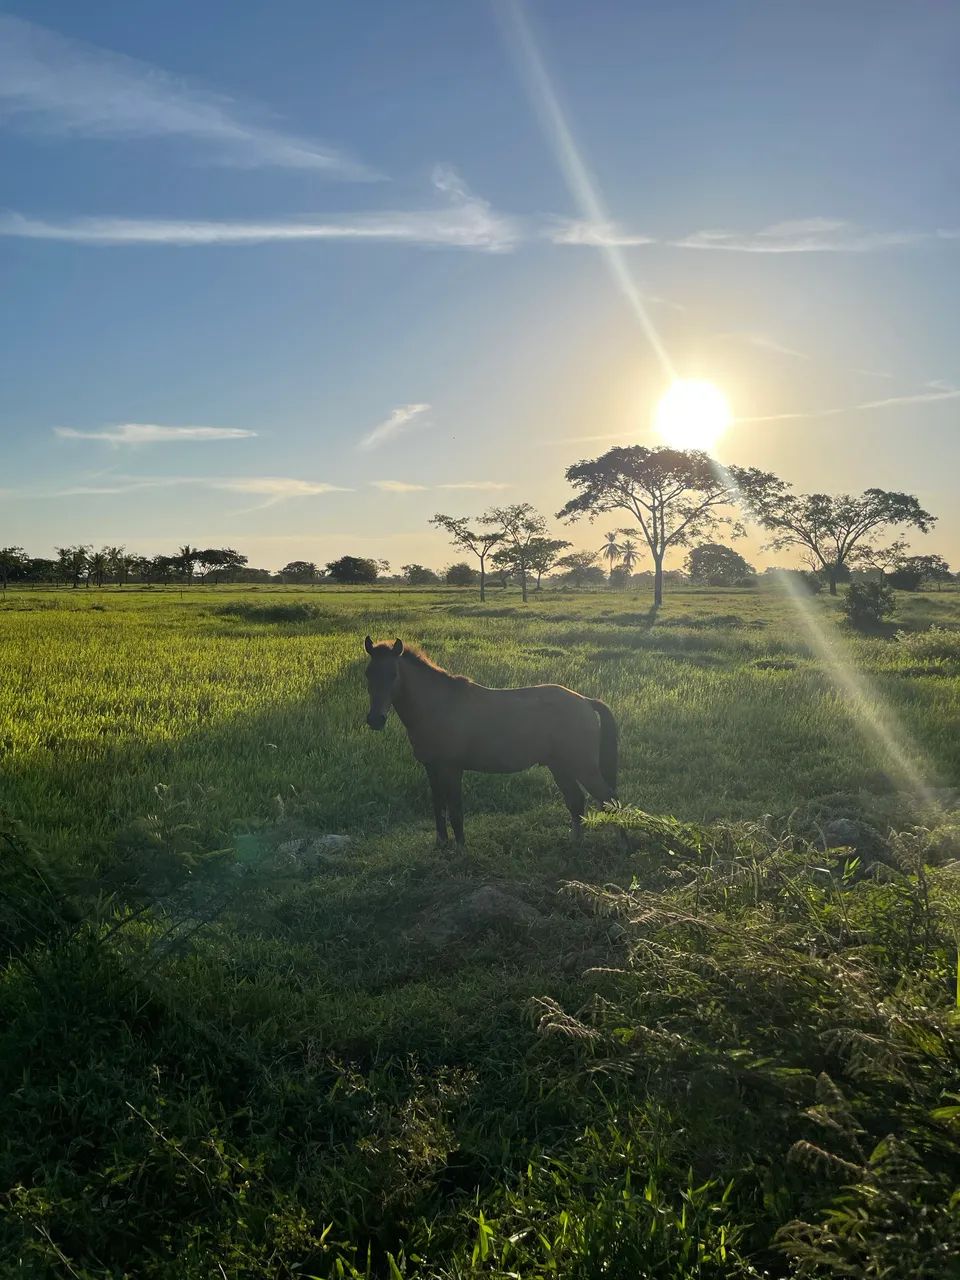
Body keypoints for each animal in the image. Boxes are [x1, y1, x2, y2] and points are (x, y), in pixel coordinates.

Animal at [363, 636, 618, 846]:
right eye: (368, 674)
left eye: (393, 674)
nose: (375, 719)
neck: (437, 706)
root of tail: (585, 701)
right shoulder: (431, 768)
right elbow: (439, 807)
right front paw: (442, 843)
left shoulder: (451, 769)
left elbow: (455, 811)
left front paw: (460, 849)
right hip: (559, 766)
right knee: (576, 801)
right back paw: (575, 841)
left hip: (583, 767)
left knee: (609, 799)